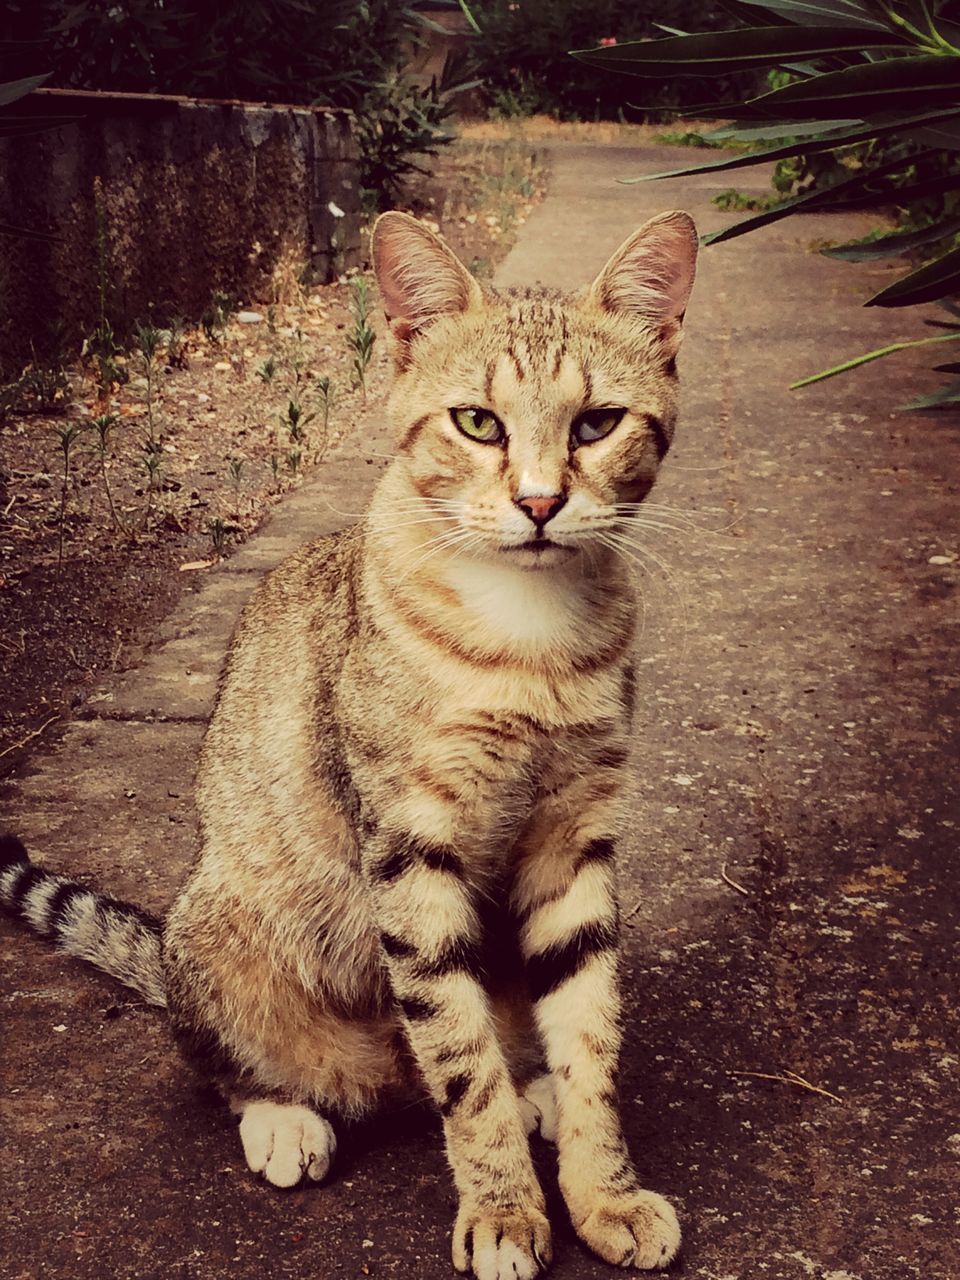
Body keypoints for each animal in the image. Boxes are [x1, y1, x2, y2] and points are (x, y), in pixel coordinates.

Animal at [0, 212, 701, 1280]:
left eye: (596, 424)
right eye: (479, 423)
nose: (540, 502)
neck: (529, 637)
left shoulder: (575, 839)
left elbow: (590, 1033)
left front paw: (602, 1191)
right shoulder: (409, 847)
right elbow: (460, 1061)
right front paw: (504, 1207)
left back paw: (527, 1086)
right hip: (218, 933)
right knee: (237, 1066)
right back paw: (287, 1117)